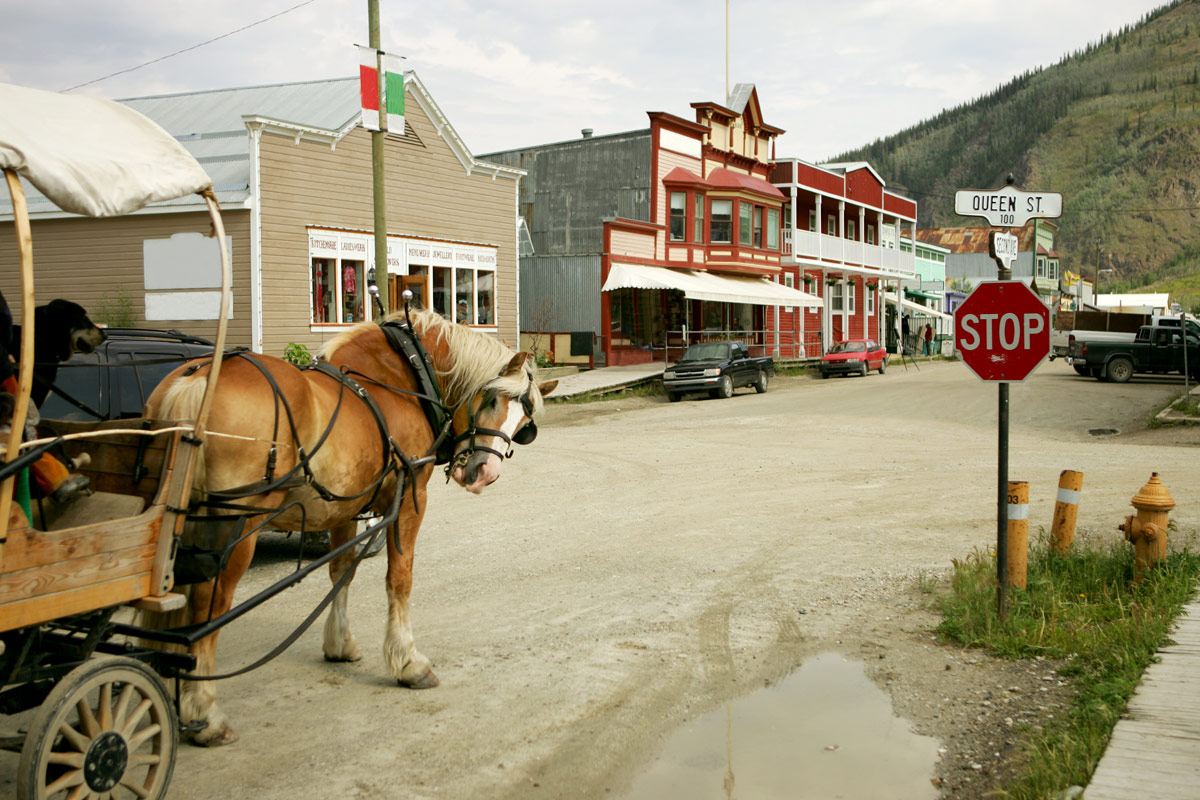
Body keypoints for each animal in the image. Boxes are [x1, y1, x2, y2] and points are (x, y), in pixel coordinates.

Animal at [142, 309, 554, 748]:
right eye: (490, 399)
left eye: (524, 423)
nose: (484, 473)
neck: (401, 374)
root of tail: (196, 379)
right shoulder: (411, 497)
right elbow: (399, 579)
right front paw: (408, 662)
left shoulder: (342, 508)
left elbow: (341, 573)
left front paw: (339, 644)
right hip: (234, 528)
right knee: (207, 603)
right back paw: (204, 712)